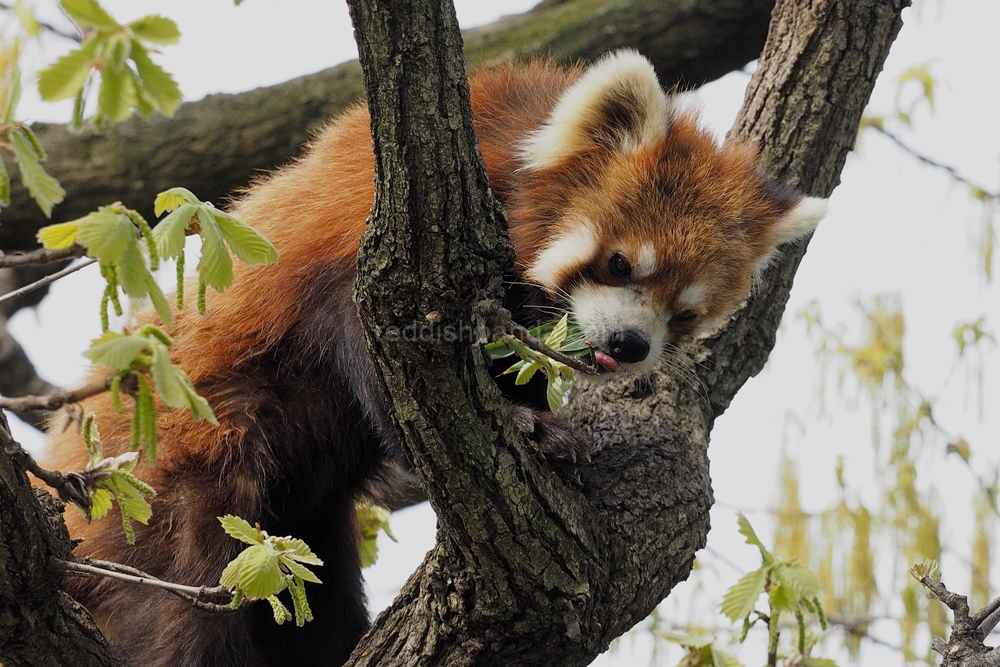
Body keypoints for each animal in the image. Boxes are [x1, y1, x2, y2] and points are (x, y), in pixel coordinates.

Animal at [39, 52, 824, 667]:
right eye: (621, 262)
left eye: (685, 313)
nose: (630, 346)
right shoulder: (373, 254)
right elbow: (380, 365)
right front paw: (526, 425)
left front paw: (548, 428)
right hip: (182, 475)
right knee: (183, 604)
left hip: (301, 536)